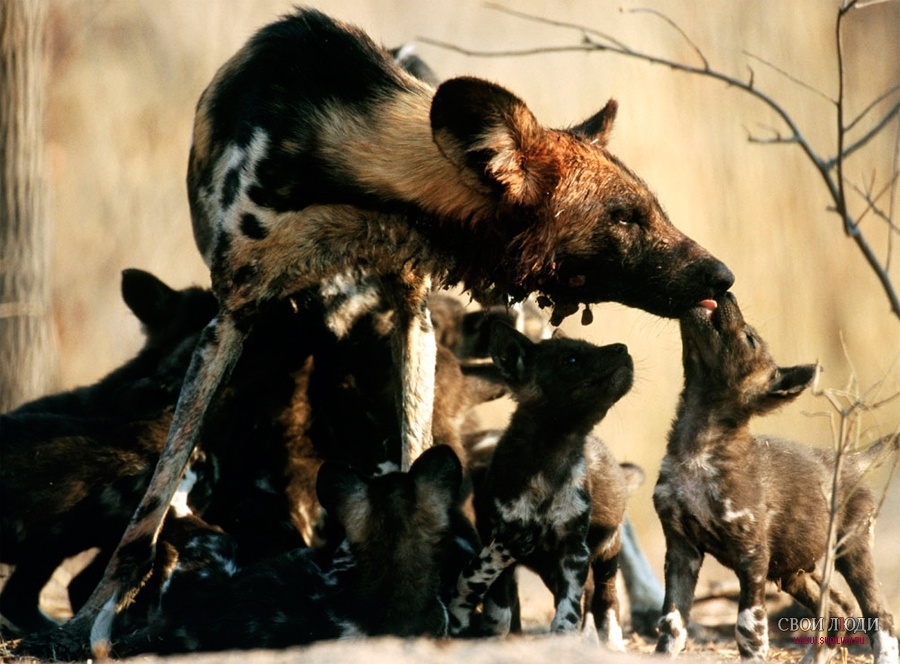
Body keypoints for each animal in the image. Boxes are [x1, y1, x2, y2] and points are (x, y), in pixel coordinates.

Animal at [652, 294, 900, 660]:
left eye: (749, 338)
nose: (728, 294)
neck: (697, 447)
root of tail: (855, 462)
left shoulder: (752, 556)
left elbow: (748, 629)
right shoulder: (682, 550)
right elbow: (671, 624)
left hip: (851, 551)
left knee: (879, 616)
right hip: (792, 569)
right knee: (837, 614)